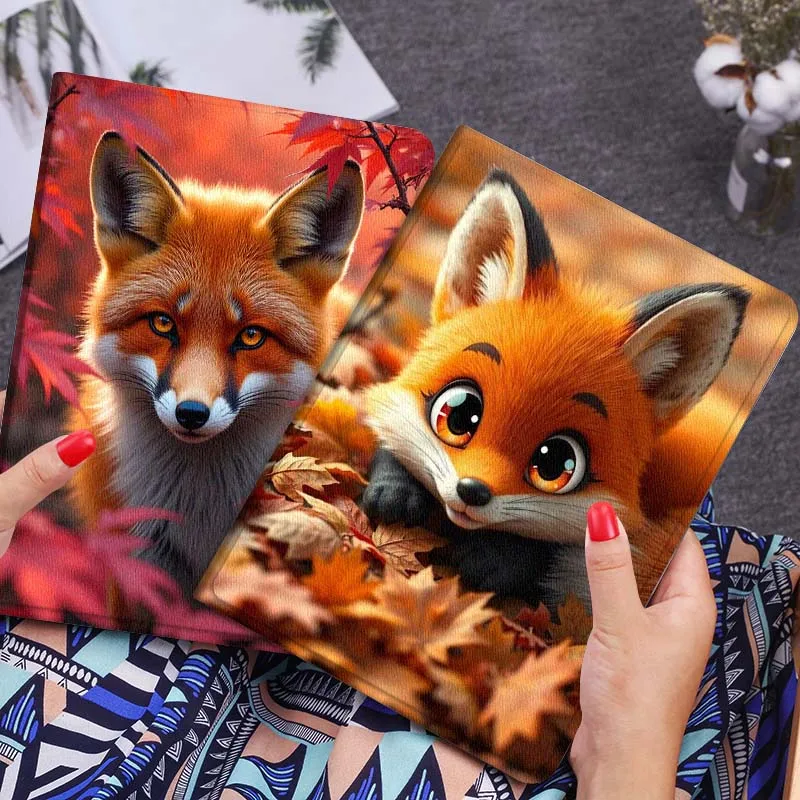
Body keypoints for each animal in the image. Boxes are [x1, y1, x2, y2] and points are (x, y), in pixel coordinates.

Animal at [363, 169, 749, 612]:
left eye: (555, 464)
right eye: (458, 415)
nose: (472, 491)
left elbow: (534, 555)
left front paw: (494, 560)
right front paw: (396, 491)